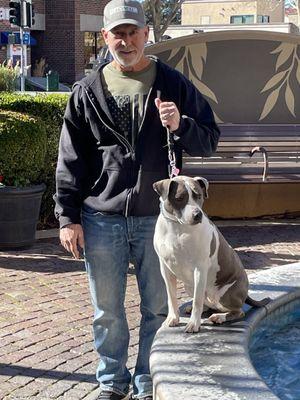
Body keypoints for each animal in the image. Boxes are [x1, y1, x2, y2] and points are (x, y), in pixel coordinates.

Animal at [152, 177, 270, 332]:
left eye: (199, 196)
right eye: (179, 198)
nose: (197, 215)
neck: (177, 227)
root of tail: (245, 294)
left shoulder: (199, 268)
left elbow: (197, 300)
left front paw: (194, 324)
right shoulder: (165, 269)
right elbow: (171, 297)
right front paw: (173, 318)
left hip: (224, 294)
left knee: (237, 311)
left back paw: (219, 317)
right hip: (190, 286)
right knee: (206, 302)